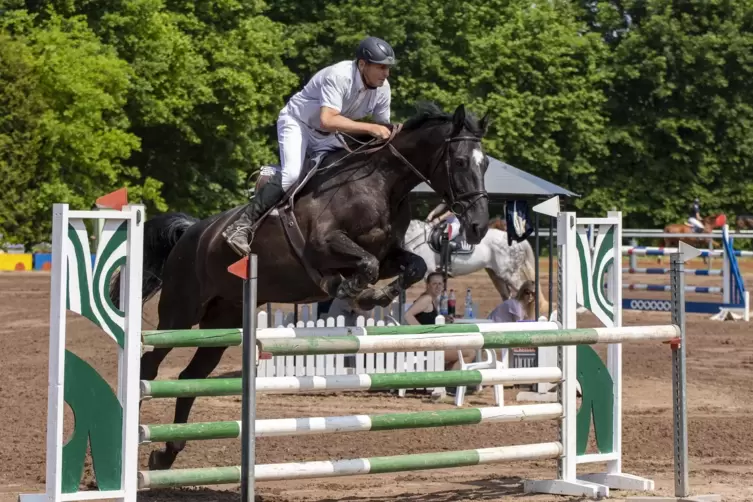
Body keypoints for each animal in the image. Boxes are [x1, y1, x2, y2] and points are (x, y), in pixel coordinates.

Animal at [120, 102, 490, 470]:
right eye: (460, 161)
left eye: (484, 163)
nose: (478, 226)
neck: (381, 185)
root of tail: (192, 231)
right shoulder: (325, 246)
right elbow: (365, 266)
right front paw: (353, 291)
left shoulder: (388, 255)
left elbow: (411, 266)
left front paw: (375, 295)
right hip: (181, 313)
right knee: (150, 366)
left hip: (223, 321)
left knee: (190, 377)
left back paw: (166, 454)